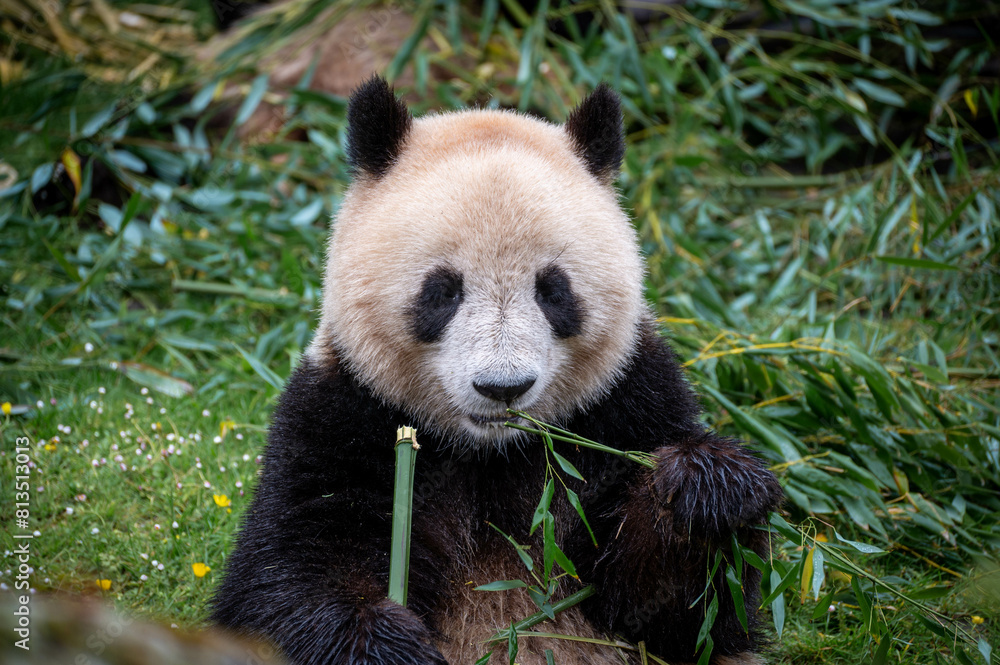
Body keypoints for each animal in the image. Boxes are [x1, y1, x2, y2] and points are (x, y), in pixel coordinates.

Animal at [212, 77, 783, 665]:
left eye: (554, 290)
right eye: (442, 291)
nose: (503, 387)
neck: (490, 454)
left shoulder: (627, 405)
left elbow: (684, 616)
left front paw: (706, 488)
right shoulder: (341, 415)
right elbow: (284, 579)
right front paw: (388, 645)